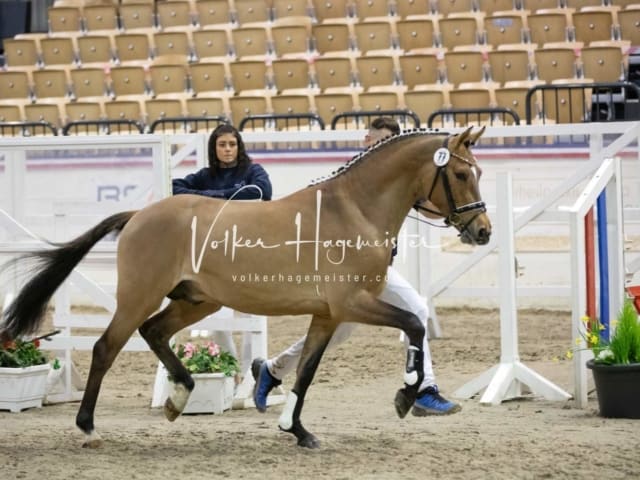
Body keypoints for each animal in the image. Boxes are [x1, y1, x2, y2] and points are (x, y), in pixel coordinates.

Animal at [0, 125, 492, 448]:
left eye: (480, 173)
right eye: (461, 175)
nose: (483, 231)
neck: (353, 209)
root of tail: (139, 215)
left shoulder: (327, 314)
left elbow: (307, 370)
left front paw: (297, 430)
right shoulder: (352, 304)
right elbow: (414, 325)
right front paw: (405, 396)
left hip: (195, 301)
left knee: (154, 332)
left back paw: (180, 396)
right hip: (139, 295)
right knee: (107, 347)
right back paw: (88, 426)